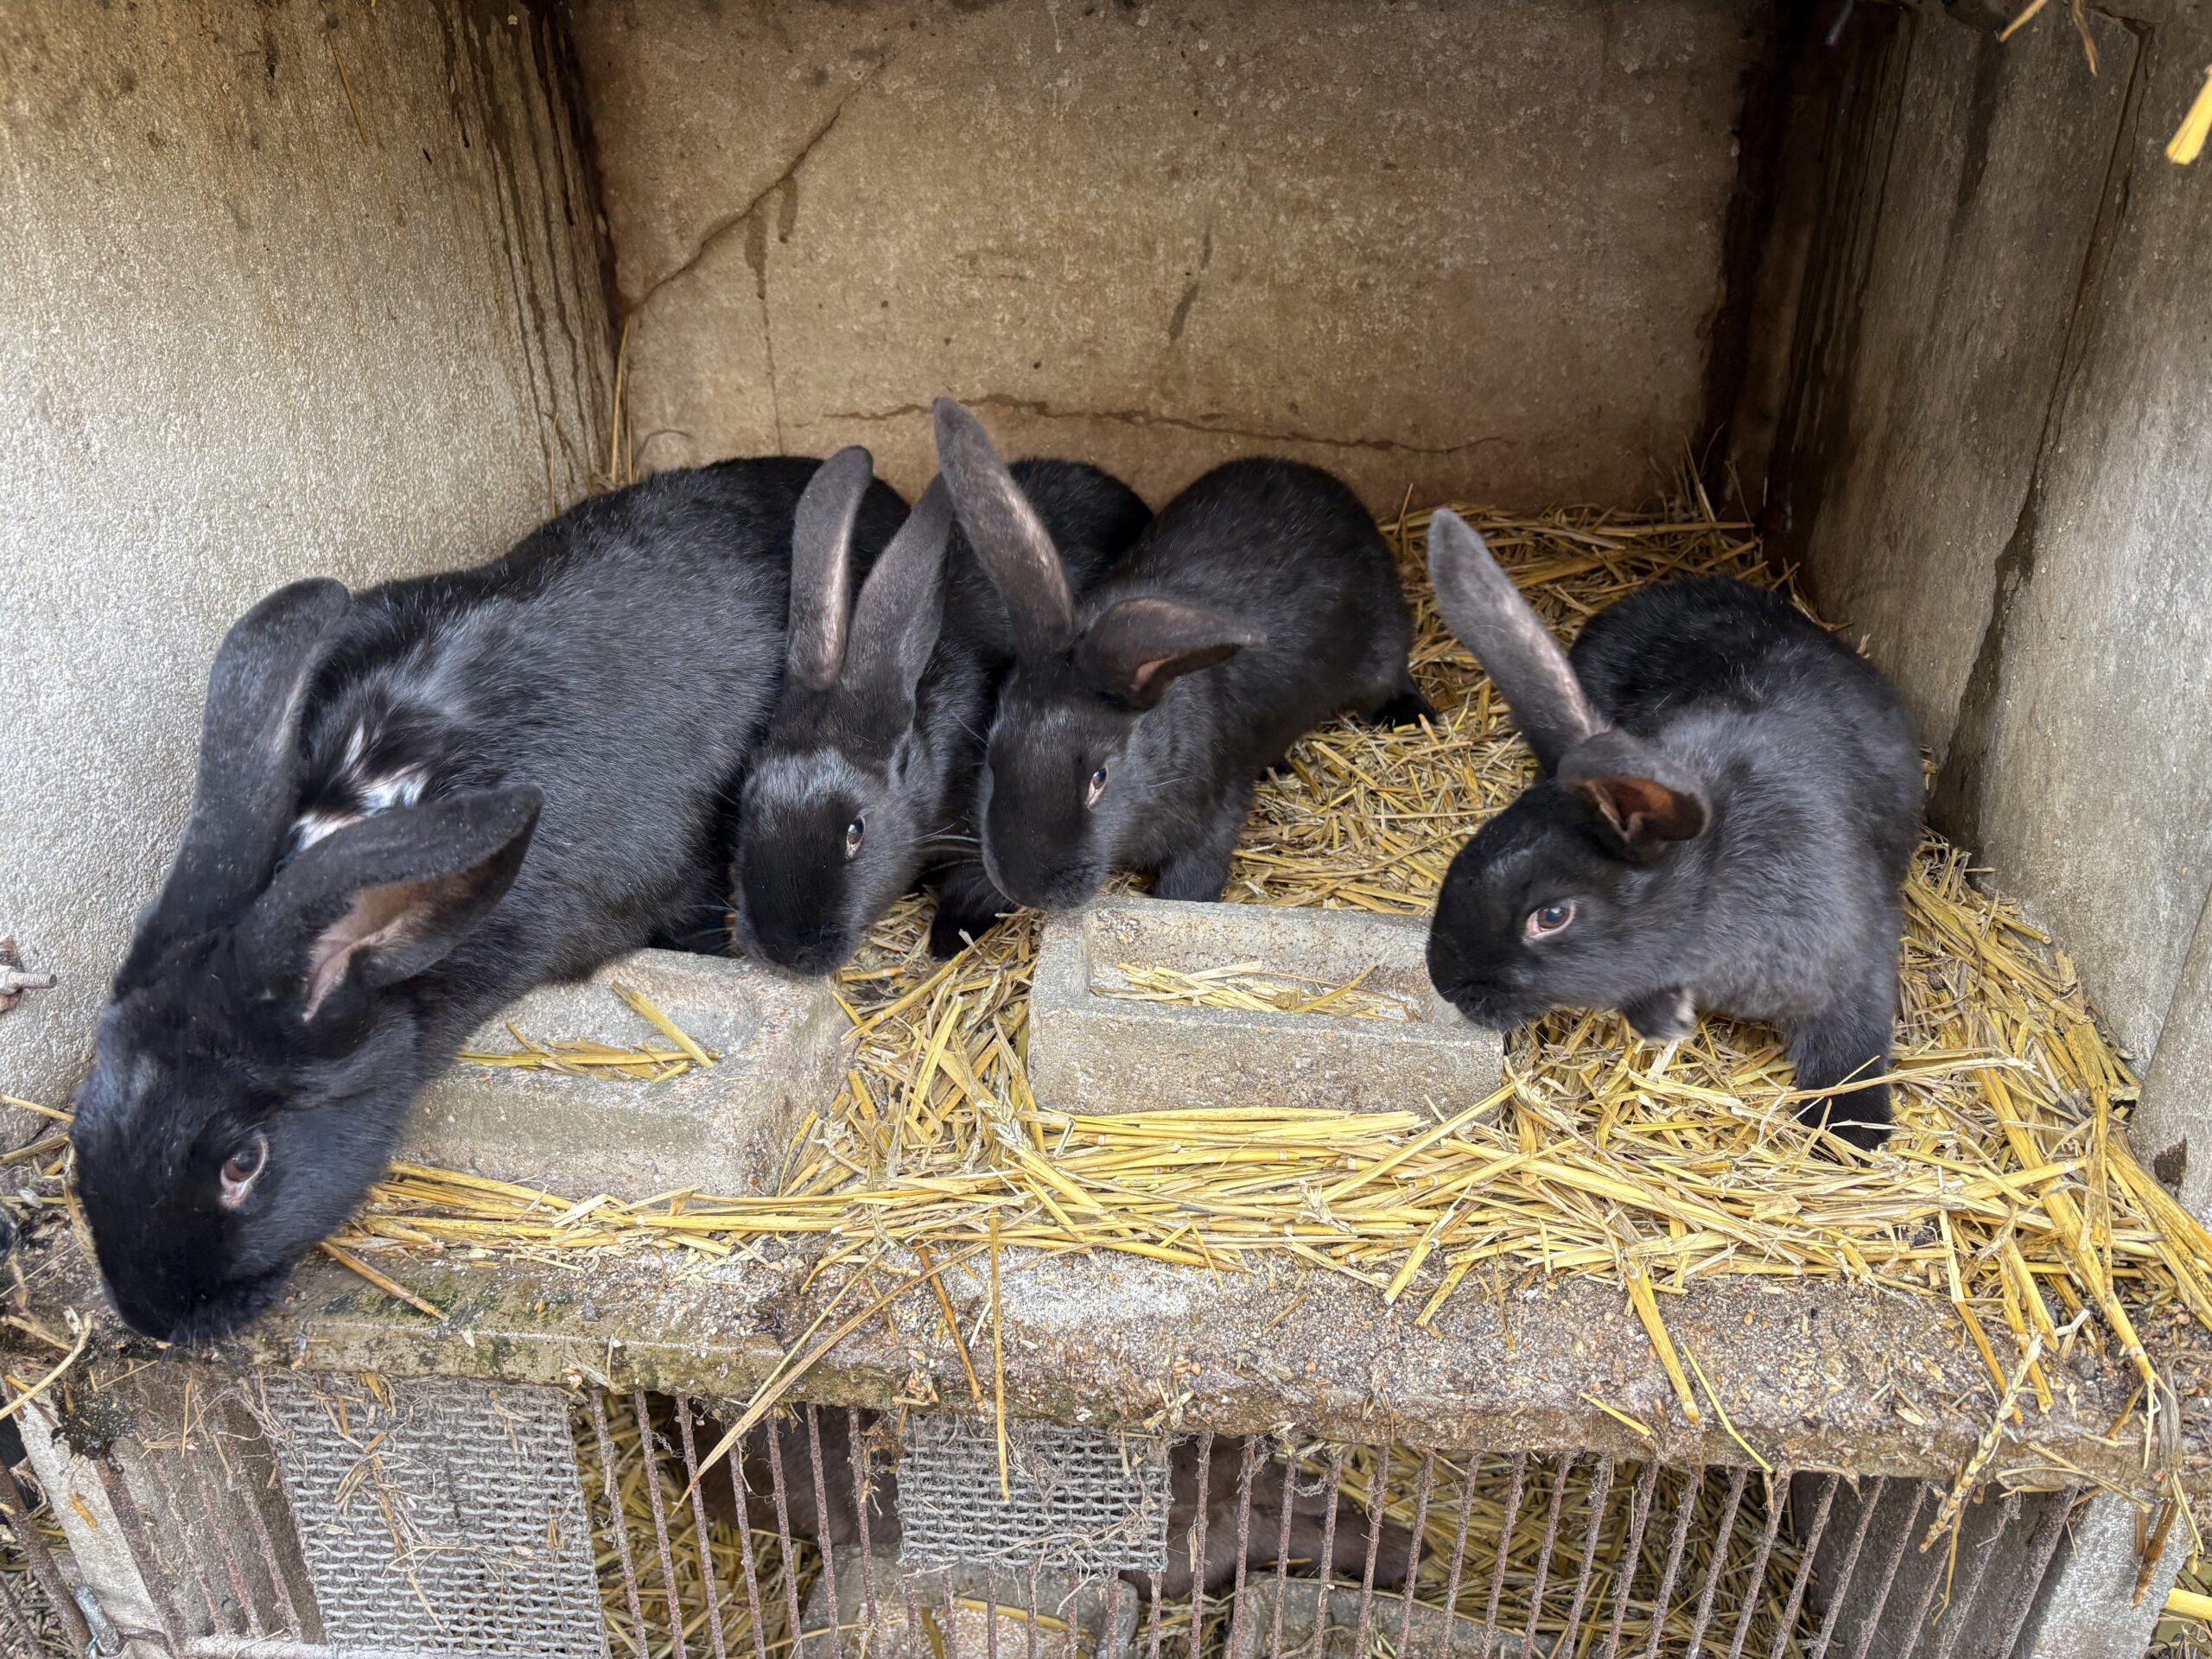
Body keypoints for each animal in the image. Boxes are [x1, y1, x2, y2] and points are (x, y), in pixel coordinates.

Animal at [933, 397, 1428, 912]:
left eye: (1099, 778)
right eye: (992, 759)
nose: (1023, 887)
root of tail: (1326, 484)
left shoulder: (1212, 818)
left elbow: (1190, 885)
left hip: (1381, 641)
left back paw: (1410, 715)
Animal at [1419, 509, 1922, 1150]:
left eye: (1551, 916)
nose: (1447, 983)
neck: (1713, 873)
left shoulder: (1854, 959)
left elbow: (1851, 1049)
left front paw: (1853, 1134)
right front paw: (1664, 1018)